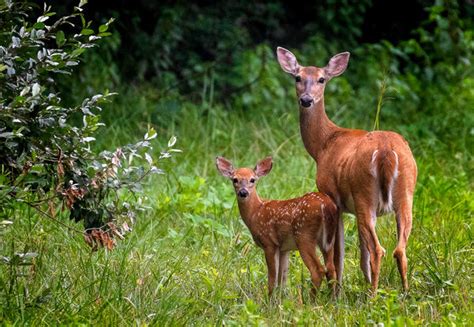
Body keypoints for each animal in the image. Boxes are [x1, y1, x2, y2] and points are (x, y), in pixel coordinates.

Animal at [276, 47, 416, 290]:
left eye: (321, 79)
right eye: (297, 78)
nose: (306, 99)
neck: (323, 145)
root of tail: (386, 152)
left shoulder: (332, 198)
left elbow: (338, 255)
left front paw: (337, 290)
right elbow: (360, 255)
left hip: (364, 194)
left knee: (378, 250)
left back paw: (373, 294)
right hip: (405, 192)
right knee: (400, 249)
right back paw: (404, 293)